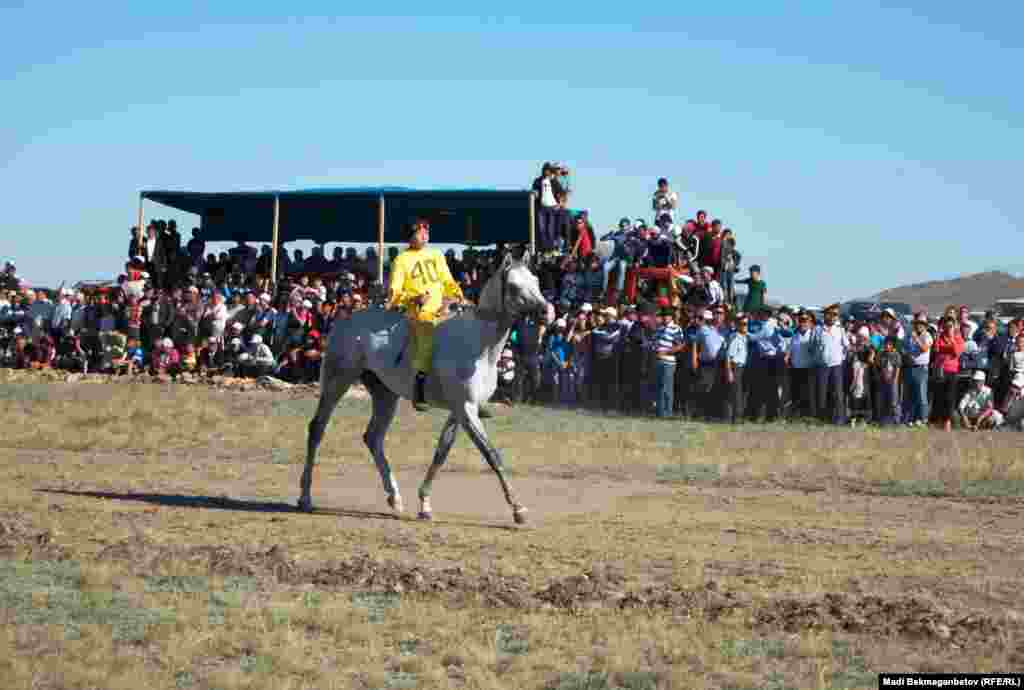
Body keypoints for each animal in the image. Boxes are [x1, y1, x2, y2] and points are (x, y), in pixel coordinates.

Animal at [299, 249, 552, 524]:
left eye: (536, 281)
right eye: (514, 286)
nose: (546, 312)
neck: (479, 344)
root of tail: (343, 323)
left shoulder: (460, 411)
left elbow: (441, 451)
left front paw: (425, 503)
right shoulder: (466, 409)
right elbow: (491, 454)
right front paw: (518, 509)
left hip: (385, 395)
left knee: (373, 437)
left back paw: (394, 496)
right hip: (337, 382)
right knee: (317, 429)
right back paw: (305, 496)